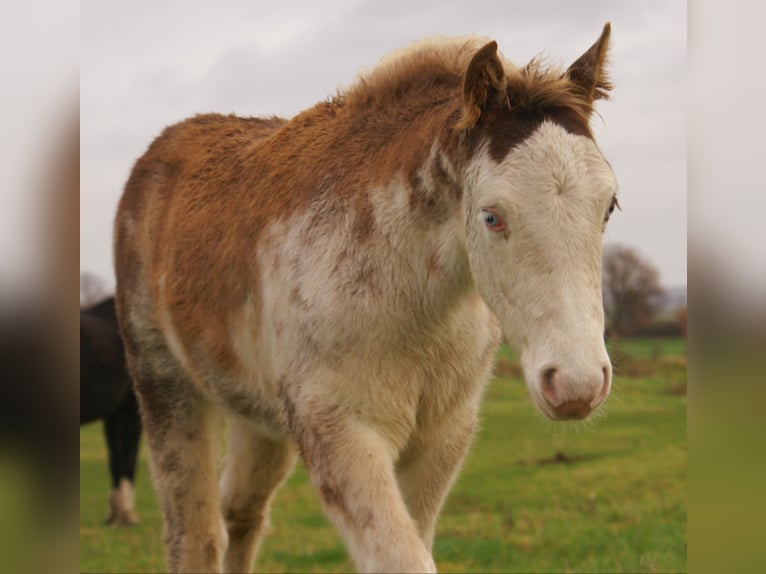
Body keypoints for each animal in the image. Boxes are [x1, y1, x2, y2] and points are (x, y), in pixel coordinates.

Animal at [80, 296, 142, 526]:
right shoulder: (130, 412)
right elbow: (127, 457)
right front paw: (125, 513)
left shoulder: (117, 413)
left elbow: (117, 458)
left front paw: (116, 513)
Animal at [114, 23, 617, 573]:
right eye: (491, 216)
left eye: (609, 206)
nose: (576, 384)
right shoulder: (341, 432)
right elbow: (403, 559)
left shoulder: (442, 438)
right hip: (166, 388)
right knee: (195, 537)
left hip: (259, 417)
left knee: (241, 513)